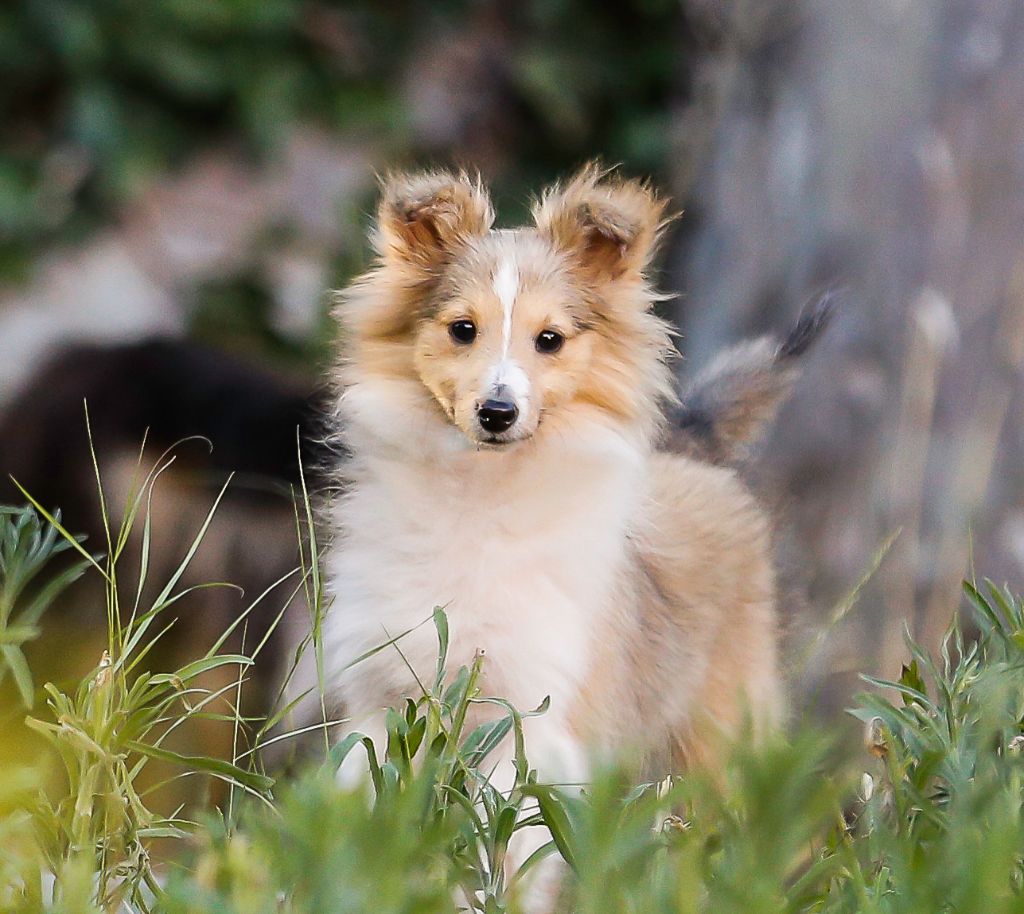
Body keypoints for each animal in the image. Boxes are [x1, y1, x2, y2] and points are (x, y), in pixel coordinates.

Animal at [323, 163, 827, 900]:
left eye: (550, 340)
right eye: (463, 329)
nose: (498, 412)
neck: (481, 494)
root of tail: (692, 448)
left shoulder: (531, 725)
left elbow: (508, 851)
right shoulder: (383, 705)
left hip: (720, 736)